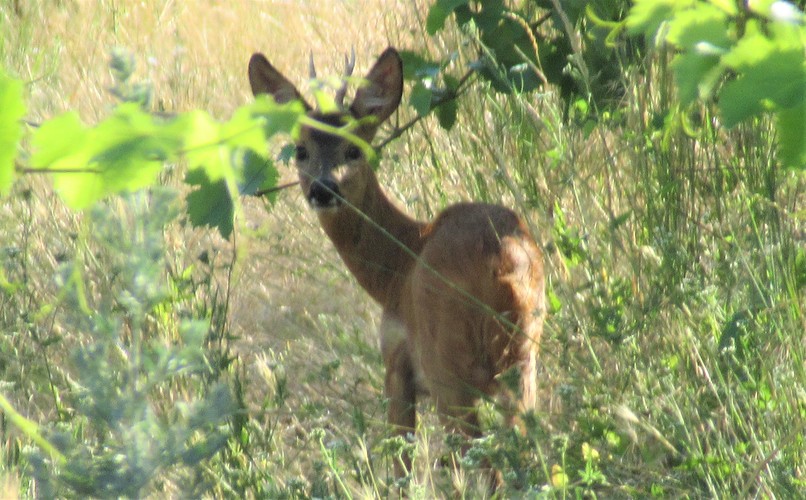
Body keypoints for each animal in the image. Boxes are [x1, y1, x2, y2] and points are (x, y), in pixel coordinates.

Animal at [249, 46, 548, 484]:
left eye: (354, 149)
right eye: (301, 150)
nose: (323, 189)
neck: (397, 266)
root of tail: (504, 265)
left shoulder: (397, 363)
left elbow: (402, 464)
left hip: (447, 363)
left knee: (482, 460)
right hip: (524, 360)